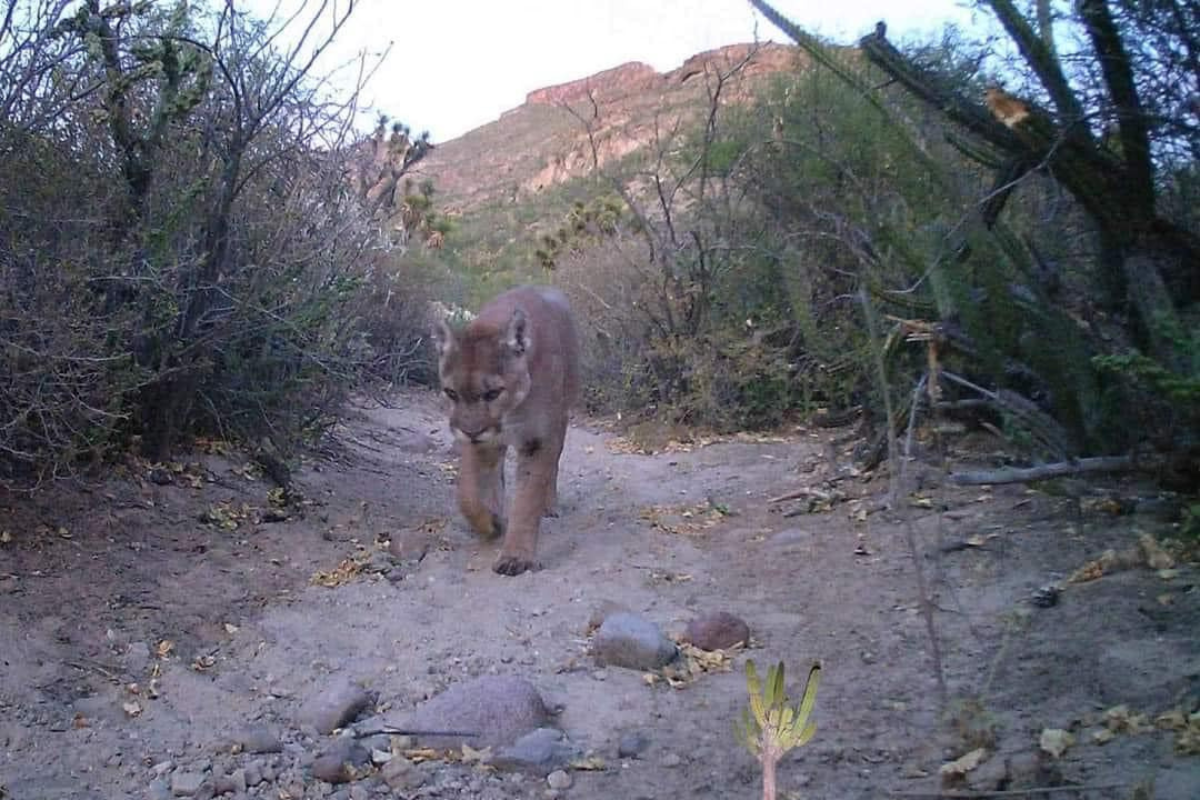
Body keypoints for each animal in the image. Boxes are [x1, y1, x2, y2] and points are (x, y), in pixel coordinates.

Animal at [432, 287, 580, 575]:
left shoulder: (539, 439)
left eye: (493, 393)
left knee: (553, 468)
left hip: (561, 417)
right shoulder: (482, 444)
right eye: (451, 393)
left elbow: (527, 498)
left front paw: (516, 556)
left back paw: (549, 505)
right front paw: (490, 523)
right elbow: (468, 494)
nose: (471, 430)